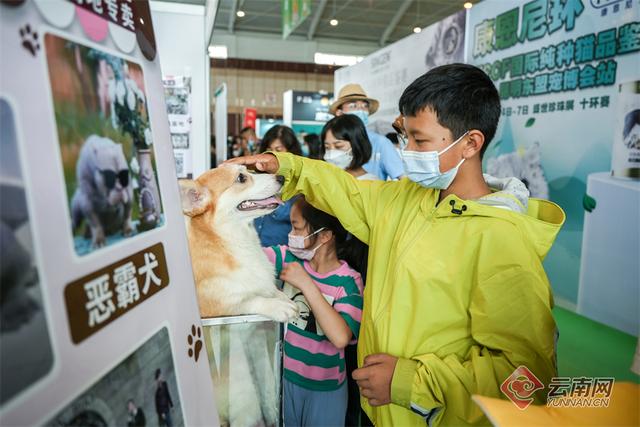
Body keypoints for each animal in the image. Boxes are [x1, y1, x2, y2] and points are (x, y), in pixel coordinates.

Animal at [179, 165, 298, 324]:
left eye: (249, 170)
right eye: (241, 178)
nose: (282, 178)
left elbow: (272, 290)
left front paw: (283, 298)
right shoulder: (216, 307)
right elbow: (252, 300)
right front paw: (278, 306)